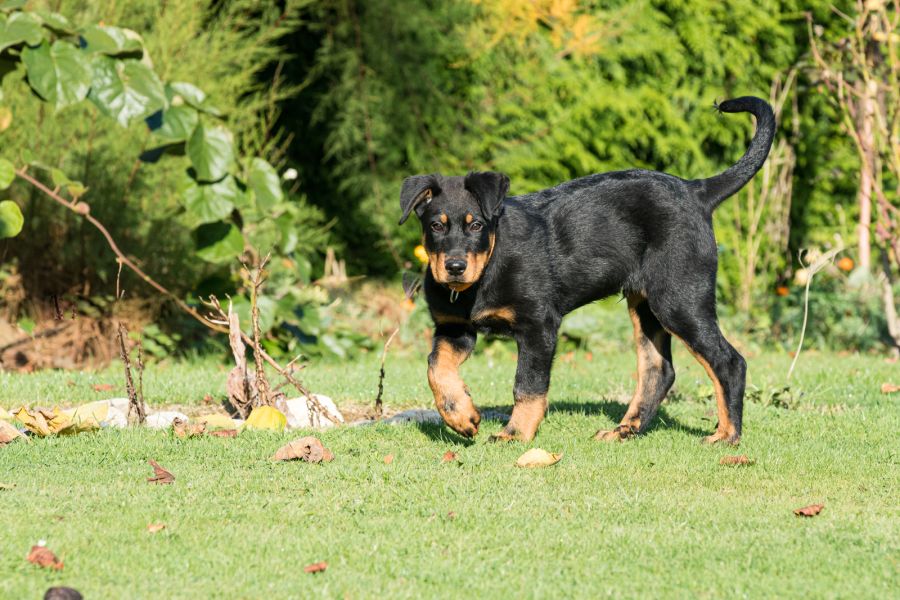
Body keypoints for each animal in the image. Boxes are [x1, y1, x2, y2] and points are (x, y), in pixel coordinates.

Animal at [398, 97, 776, 446]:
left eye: (476, 224)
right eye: (435, 226)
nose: (455, 267)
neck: (486, 268)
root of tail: (697, 191)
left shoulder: (539, 326)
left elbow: (527, 385)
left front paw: (515, 434)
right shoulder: (454, 328)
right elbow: (435, 367)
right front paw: (460, 415)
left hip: (679, 298)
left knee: (729, 362)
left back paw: (726, 436)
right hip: (645, 305)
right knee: (658, 369)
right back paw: (625, 430)